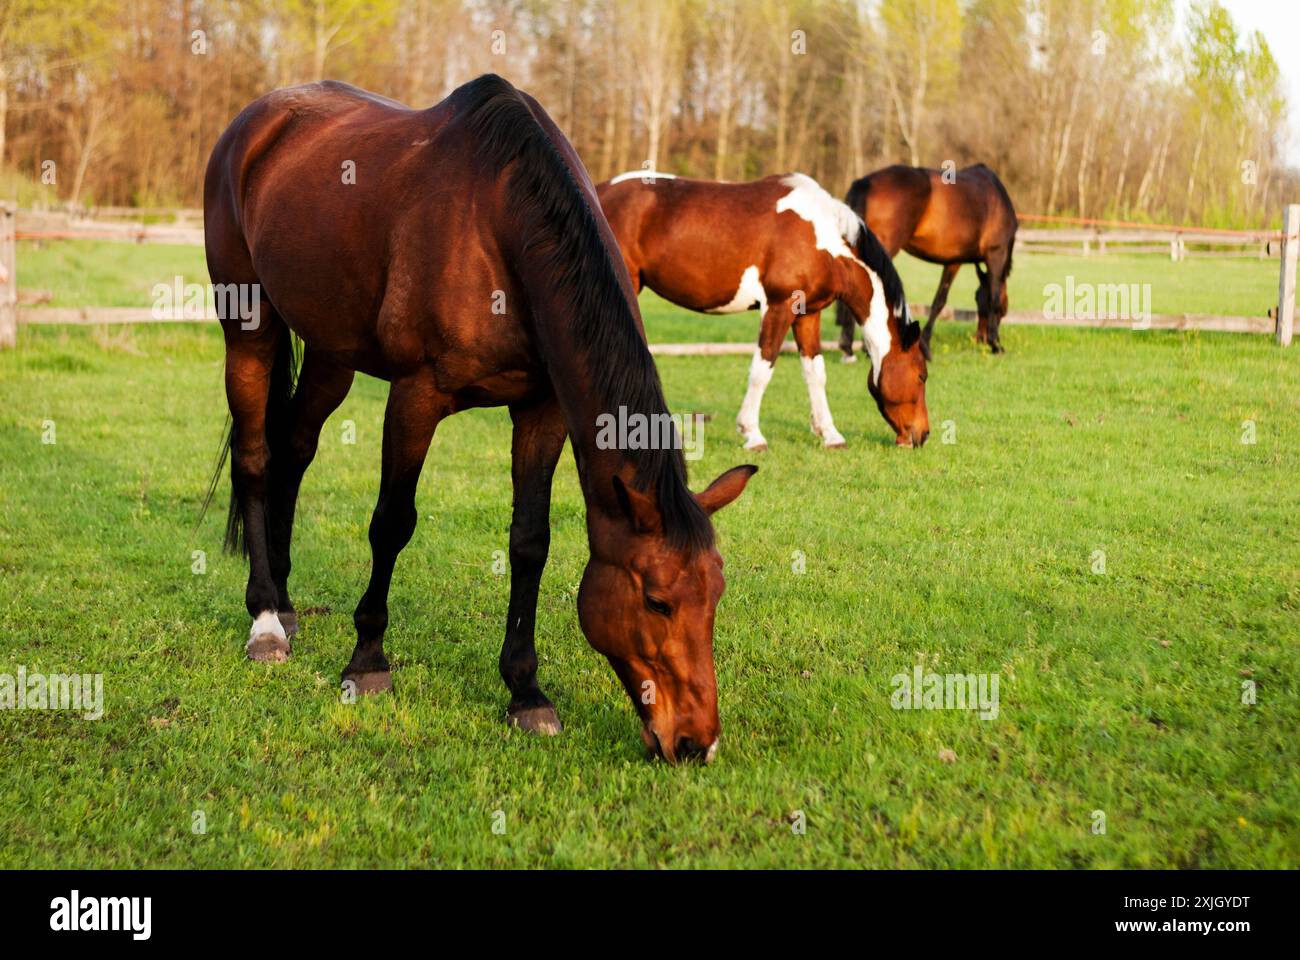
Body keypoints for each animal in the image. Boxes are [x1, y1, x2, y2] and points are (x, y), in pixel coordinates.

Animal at [200, 74, 759, 764]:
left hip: (333, 352)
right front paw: (367, 662)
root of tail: (256, 120)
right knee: (256, 458)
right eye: (656, 601)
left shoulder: (541, 410)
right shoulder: (416, 396)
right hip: (248, 328)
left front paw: (526, 692)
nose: (695, 742)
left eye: (716, 594)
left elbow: (530, 542)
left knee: (295, 449)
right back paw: (264, 622)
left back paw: (284, 600)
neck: (498, 225)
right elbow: (392, 524)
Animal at [598, 171, 935, 447]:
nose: (922, 435)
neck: (821, 236)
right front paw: (752, 434)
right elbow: (762, 369)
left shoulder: (808, 314)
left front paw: (830, 434)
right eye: (921, 375)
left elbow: (816, 373)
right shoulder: (779, 306)